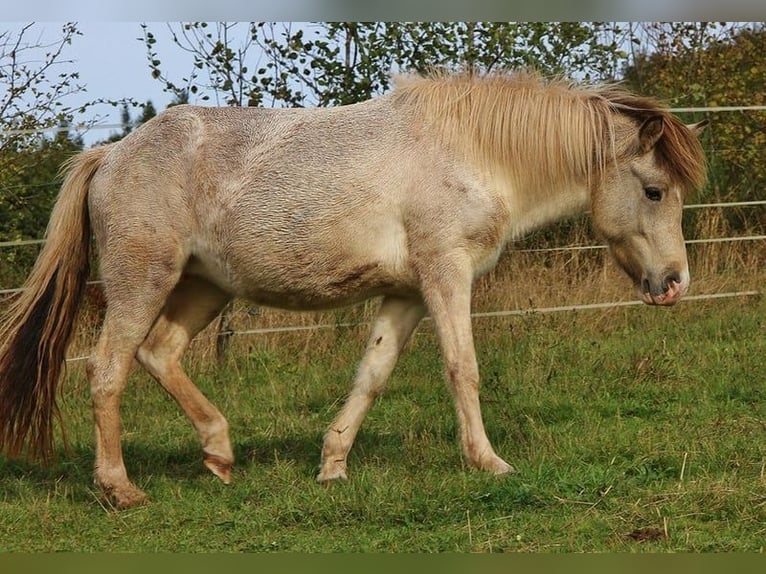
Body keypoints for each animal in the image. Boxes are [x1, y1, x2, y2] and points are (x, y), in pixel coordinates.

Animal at [0, 71, 707, 509]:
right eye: (654, 191)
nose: (674, 284)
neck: (472, 152)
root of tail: (112, 155)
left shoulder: (409, 294)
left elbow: (372, 374)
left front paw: (332, 466)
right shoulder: (445, 274)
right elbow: (463, 368)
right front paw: (488, 463)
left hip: (204, 288)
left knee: (159, 354)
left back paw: (220, 452)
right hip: (142, 282)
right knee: (107, 369)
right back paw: (120, 489)